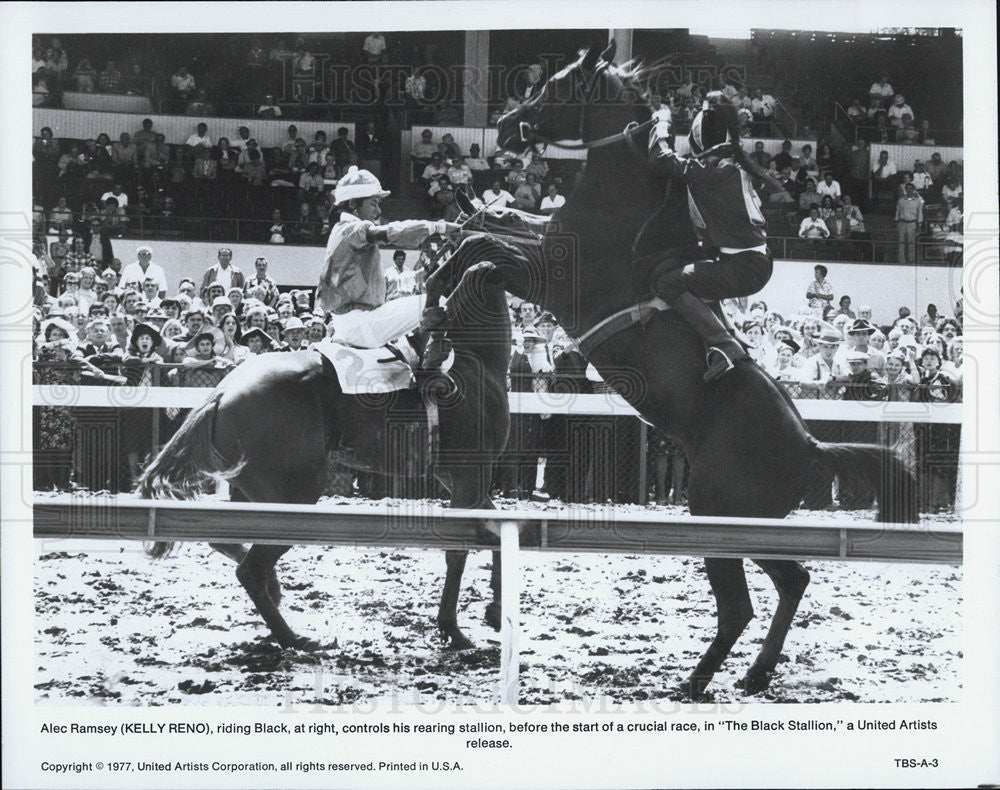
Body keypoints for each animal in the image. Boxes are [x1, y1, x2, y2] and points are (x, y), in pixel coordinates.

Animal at [140, 262, 512, 652]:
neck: (473, 361)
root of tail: (222, 393)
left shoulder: (462, 480)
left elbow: (498, 532)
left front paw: (495, 610)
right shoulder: (471, 476)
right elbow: (460, 550)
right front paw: (452, 628)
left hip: (251, 492)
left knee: (226, 542)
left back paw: (277, 597)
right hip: (293, 498)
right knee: (250, 569)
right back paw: (292, 636)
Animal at [434, 43, 916, 700]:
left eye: (558, 85)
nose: (507, 126)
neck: (624, 197)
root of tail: (811, 445)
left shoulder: (550, 274)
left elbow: (485, 247)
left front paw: (437, 285)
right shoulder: (543, 241)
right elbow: (497, 223)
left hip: (717, 512)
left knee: (740, 605)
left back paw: (696, 680)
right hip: (753, 525)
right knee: (792, 581)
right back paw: (754, 674)